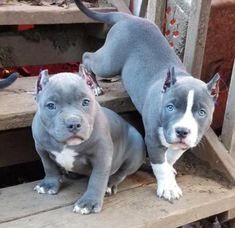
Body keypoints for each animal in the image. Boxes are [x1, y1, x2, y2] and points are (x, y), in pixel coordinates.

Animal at [32, 69, 146, 214]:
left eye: (85, 102)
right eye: (51, 106)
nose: (73, 123)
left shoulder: (102, 156)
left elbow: (97, 179)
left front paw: (88, 202)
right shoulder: (42, 149)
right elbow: (49, 167)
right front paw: (49, 185)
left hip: (136, 149)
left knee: (121, 173)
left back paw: (110, 184)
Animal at [72, 0, 219, 200]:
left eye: (202, 112)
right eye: (170, 107)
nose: (182, 131)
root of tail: (129, 18)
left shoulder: (183, 143)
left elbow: (170, 158)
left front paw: (170, 171)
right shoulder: (152, 138)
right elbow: (160, 164)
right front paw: (168, 187)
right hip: (109, 61)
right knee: (88, 56)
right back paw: (92, 84)